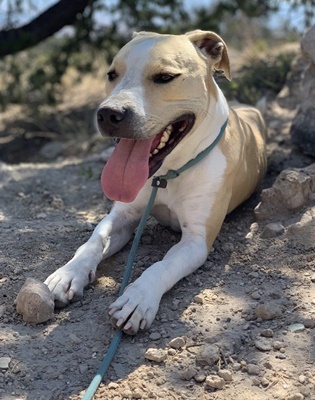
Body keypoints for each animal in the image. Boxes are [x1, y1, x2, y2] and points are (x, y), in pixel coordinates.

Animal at [45, 29, 266, 334]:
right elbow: (93, 240)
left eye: (165, 77)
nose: (108, 114)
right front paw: (68, 273)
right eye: (112, 74)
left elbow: (163, 265)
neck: (168, 174)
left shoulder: (196, 240)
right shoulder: (123, 215)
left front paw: (138, 298)